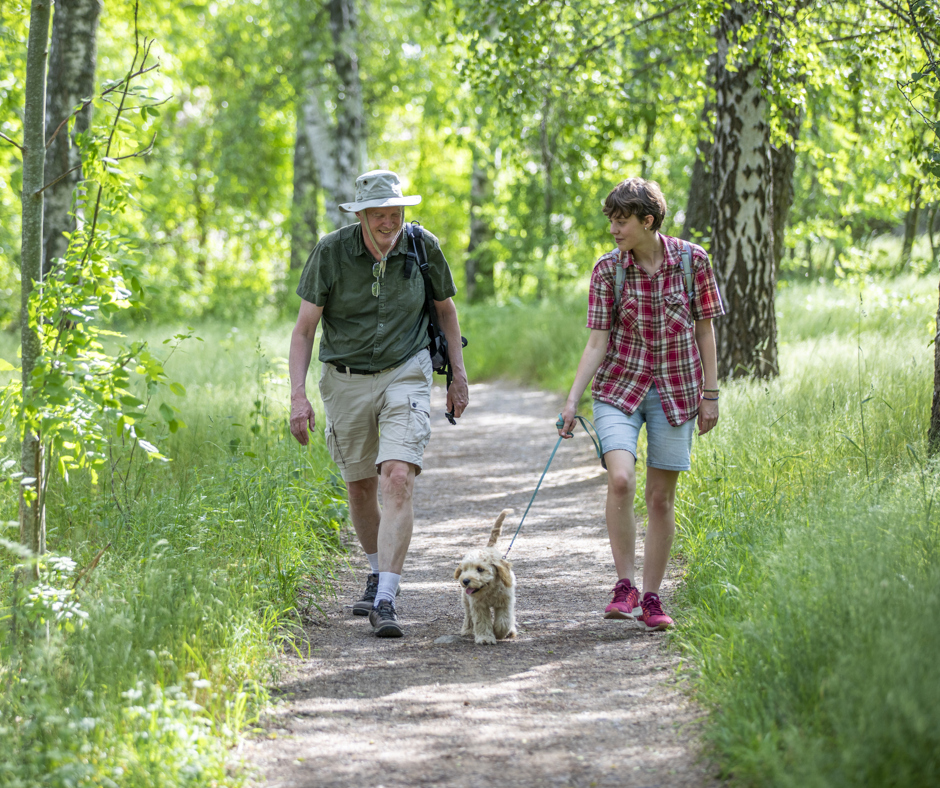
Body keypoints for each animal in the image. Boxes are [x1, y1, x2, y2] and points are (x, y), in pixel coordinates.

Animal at [454, 510, 516, 648]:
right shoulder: (478, 605)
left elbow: (504, 620)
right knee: (468, 615)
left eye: (480, 569)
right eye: (464, 569)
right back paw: (467, 630)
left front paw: (499, 632)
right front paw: (485, 638)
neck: (490, 590)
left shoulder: (505, 602)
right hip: (466, 600)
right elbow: (481, 621)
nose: (465, 581)